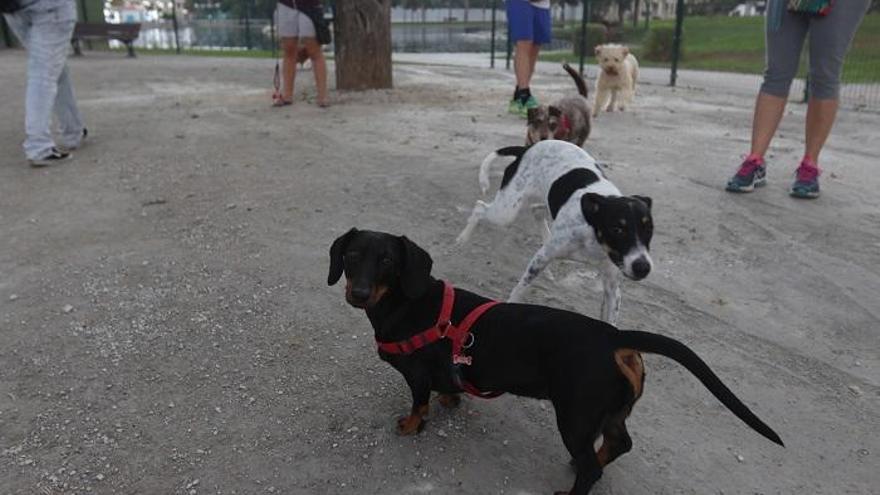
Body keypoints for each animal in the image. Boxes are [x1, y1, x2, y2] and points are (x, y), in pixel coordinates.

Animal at [454, 140, 652, 326]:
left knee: (535, 211)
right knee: (480, 207)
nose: (643, 267)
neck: (594, 239)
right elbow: (519, 289)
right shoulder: (538, 261)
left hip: (543, 205)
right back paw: (462, 239)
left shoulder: (612, 287)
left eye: (649, 229)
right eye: (617, 229)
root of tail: (527, 149)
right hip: (505, 212)